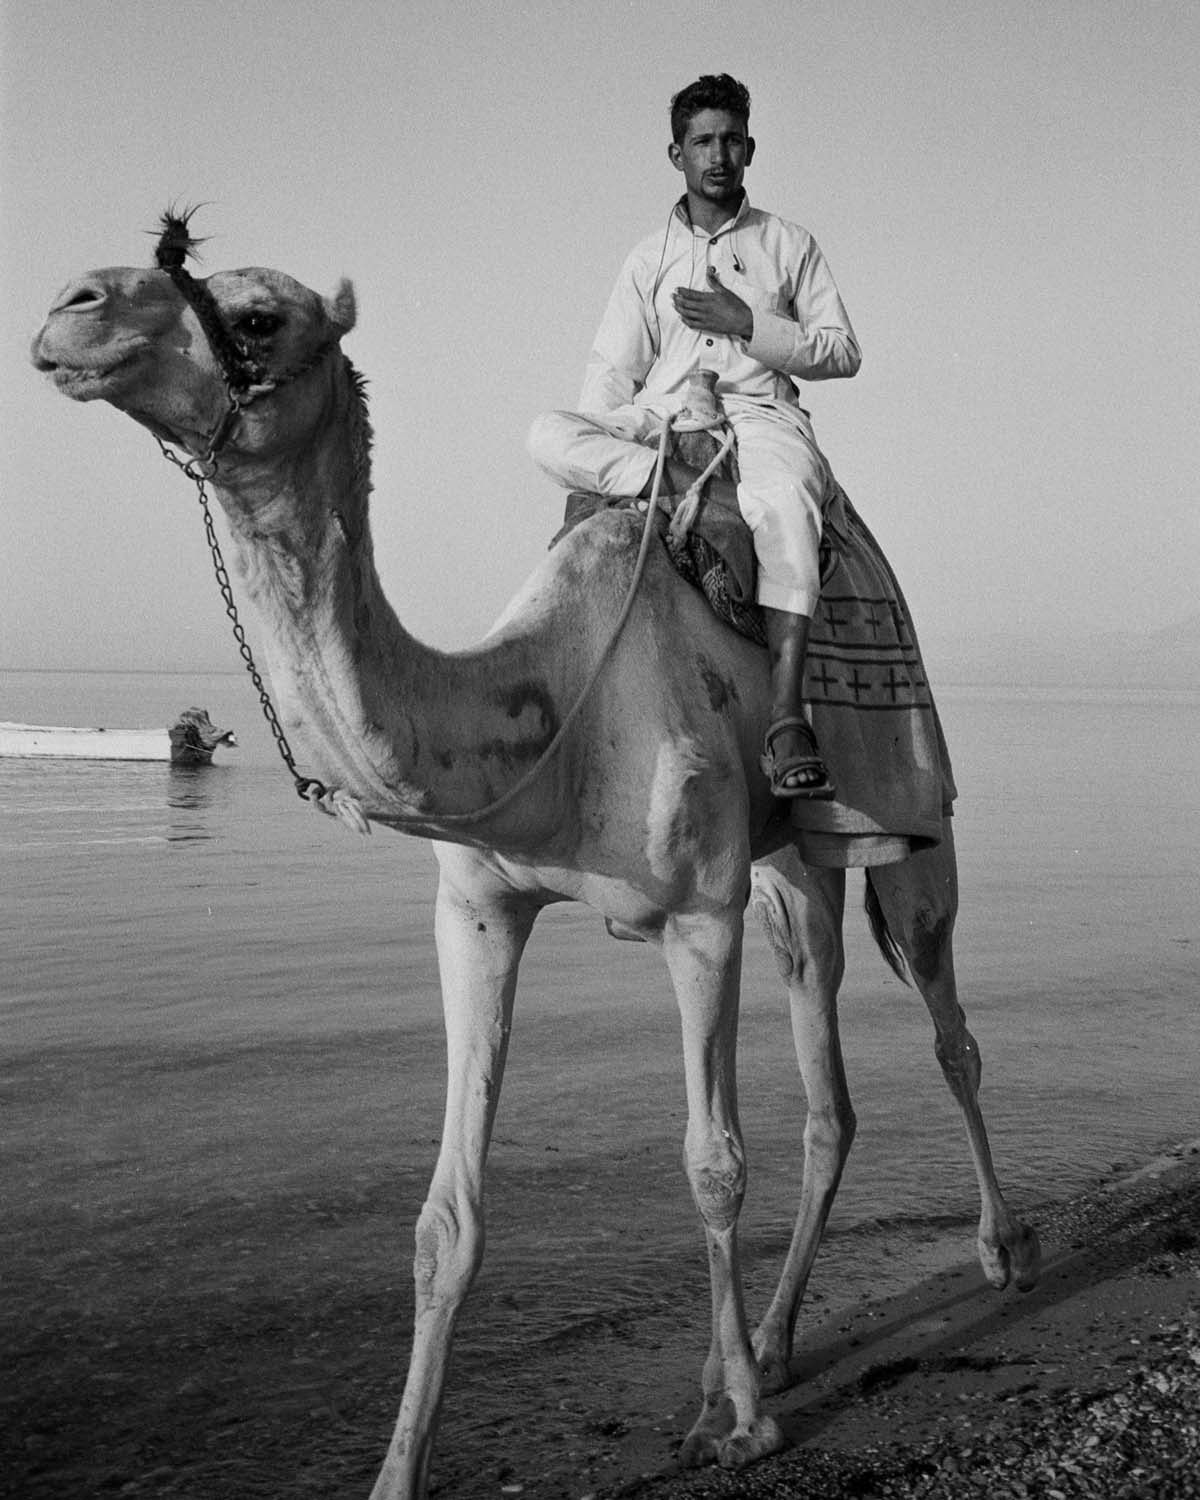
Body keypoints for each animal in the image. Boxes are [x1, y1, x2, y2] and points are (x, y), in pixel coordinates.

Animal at [32, 233, 1040, 1500]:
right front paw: (399, 1470)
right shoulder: (479, 907)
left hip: (907, 820)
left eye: (259, 317)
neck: (554, 704)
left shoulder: (697, 916)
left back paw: (997, 1254)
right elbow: (446, 1219)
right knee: (829, 1091)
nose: (69, 310)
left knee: (946, 1022)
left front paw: (740, 1427)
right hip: (791, 871)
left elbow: (714, 1162)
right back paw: (767, 1340)